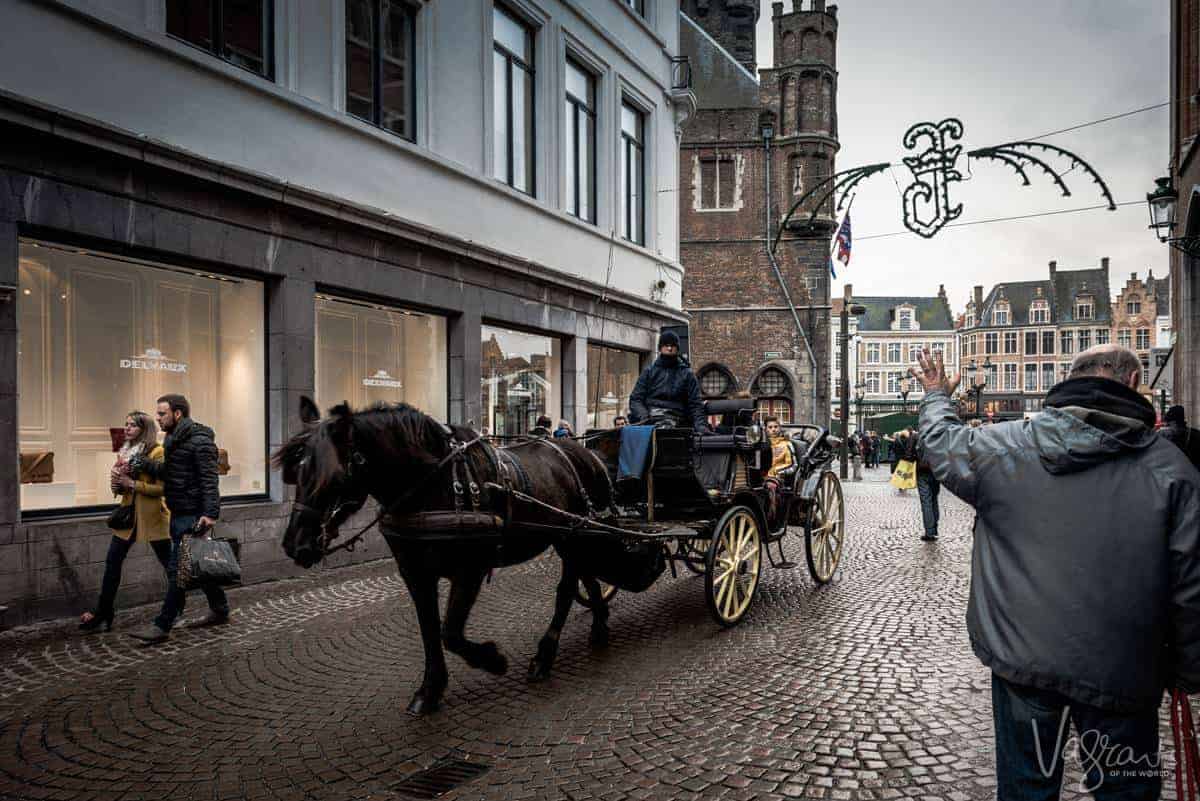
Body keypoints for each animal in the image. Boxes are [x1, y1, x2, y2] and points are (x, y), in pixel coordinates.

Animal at [274, 398, 619, 714]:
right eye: (294, 473)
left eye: (334, 476)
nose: (294, 544)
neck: (432, 486)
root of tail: (589, 455)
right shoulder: (414, 573)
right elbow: (429, 629)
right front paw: (430, 690)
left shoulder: (470, 570)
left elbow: (450, 632)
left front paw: (493, 660)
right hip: (576, 537)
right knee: (588, 575)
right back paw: (600, 624)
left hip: (571, 537)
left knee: (565, 590)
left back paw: (545, 655)